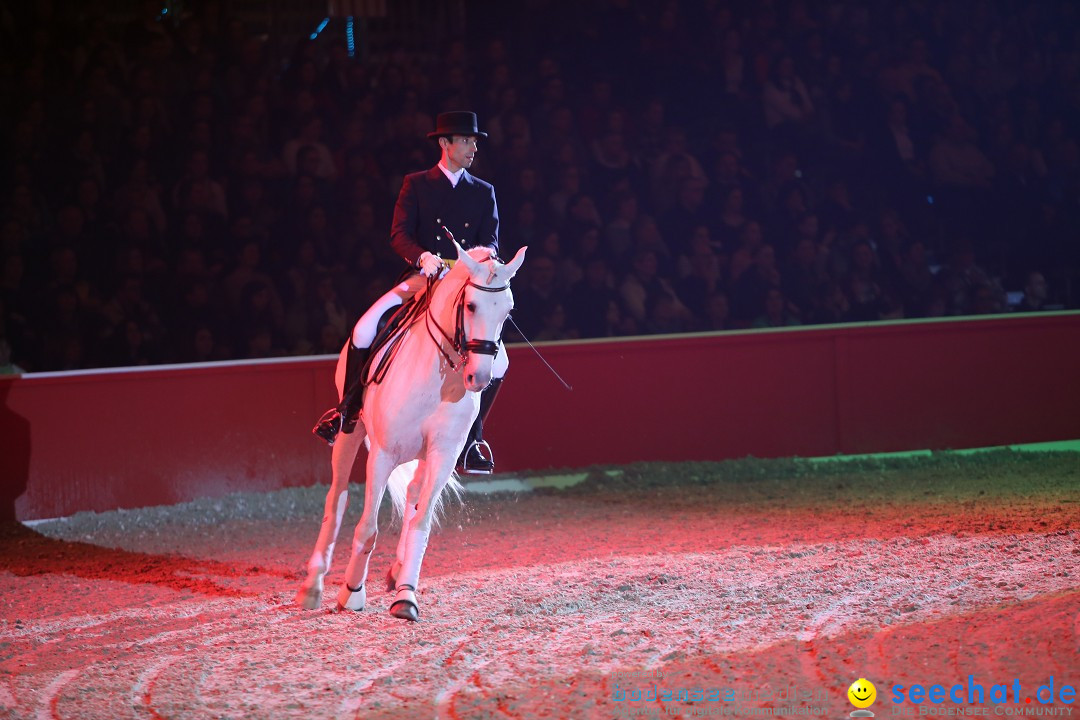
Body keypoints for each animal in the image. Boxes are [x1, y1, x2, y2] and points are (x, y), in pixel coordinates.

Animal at [295, 240, 522, 621]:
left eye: (507, 311)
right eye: (471, 305)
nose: (478, 378)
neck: (439, 374)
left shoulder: (443, 455)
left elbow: (420, 524)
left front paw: (406, 596)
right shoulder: (384, 454)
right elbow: (368, 528)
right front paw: (352, 592)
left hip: (422, 456)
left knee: (414, 497)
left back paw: (398, 571)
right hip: (349, 435)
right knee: (336, 498)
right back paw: (313, 585)